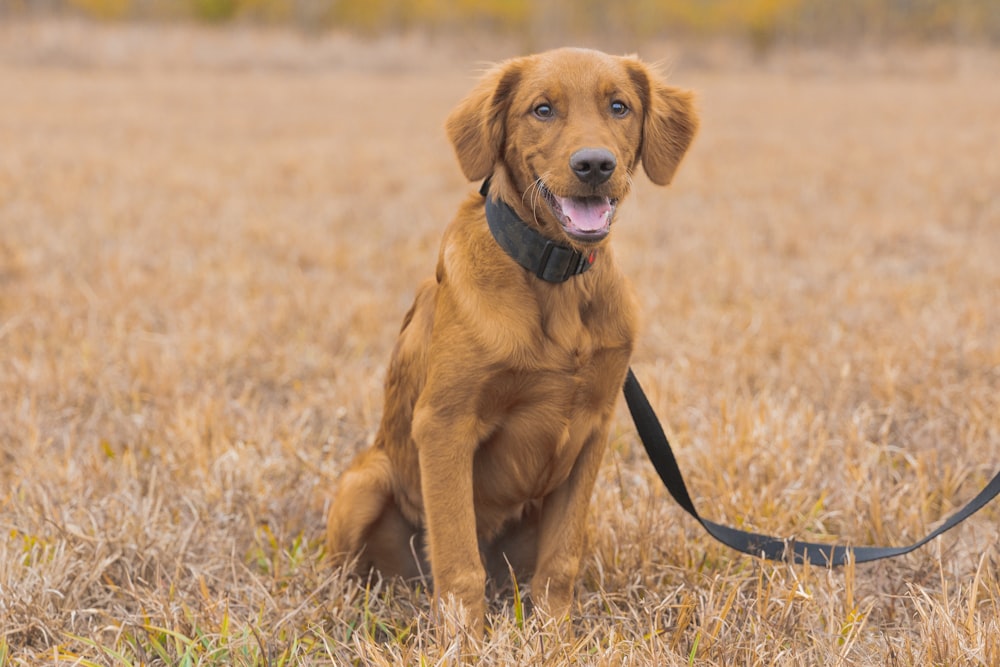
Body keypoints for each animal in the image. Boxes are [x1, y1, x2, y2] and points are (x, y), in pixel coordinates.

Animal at [326, 47, 696, 632]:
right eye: (542, 109)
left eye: (619, 106)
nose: (595, 165)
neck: (556, 277)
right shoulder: (444, 423)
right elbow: (458, 563)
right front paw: (463, 641)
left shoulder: (595, 426)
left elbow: (561, 560)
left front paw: (556, 636)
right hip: (365, 482)